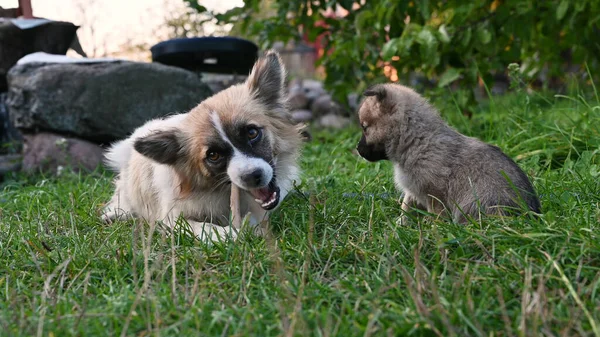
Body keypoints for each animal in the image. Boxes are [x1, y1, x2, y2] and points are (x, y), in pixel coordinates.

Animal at [101, 50, 304, 242]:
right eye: (213, 155)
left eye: (252, 133)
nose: (252, 177)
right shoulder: (172, 217)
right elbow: (204, 227)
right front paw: (230, 234)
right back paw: (115, 214)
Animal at [354, 82, 540, 222]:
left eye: (364, 127)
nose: (357, 149)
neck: (417, 141)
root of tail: (532, 215)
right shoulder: (413, 192)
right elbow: (405, 210)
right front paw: (399, 227)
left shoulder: (434, 197)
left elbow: (434, 217)